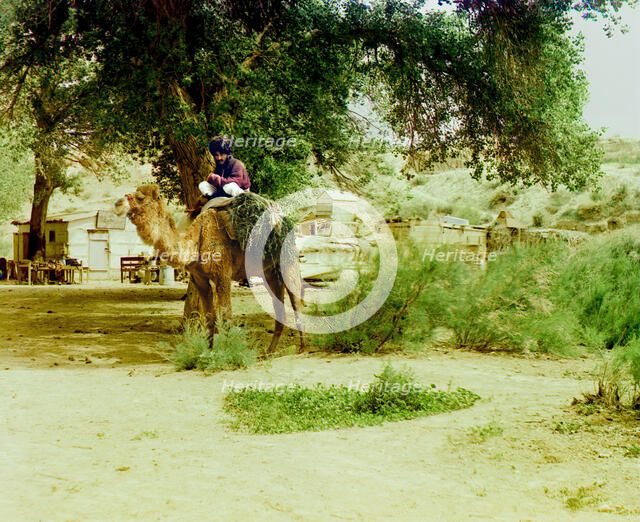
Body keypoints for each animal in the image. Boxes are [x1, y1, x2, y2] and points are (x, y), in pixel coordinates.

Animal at [114, 184, 304, 353]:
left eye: (139, 197)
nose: (117, 204)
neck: (197, 239)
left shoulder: (223, 276)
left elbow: (226, 317)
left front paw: (230, 353)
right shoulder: (200, 279)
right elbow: (209, 317)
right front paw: (208, 351)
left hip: (288, 260)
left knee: (296, 300)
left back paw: (302, 348)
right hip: (269, 271)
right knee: (279, 303)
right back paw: (270, 351)